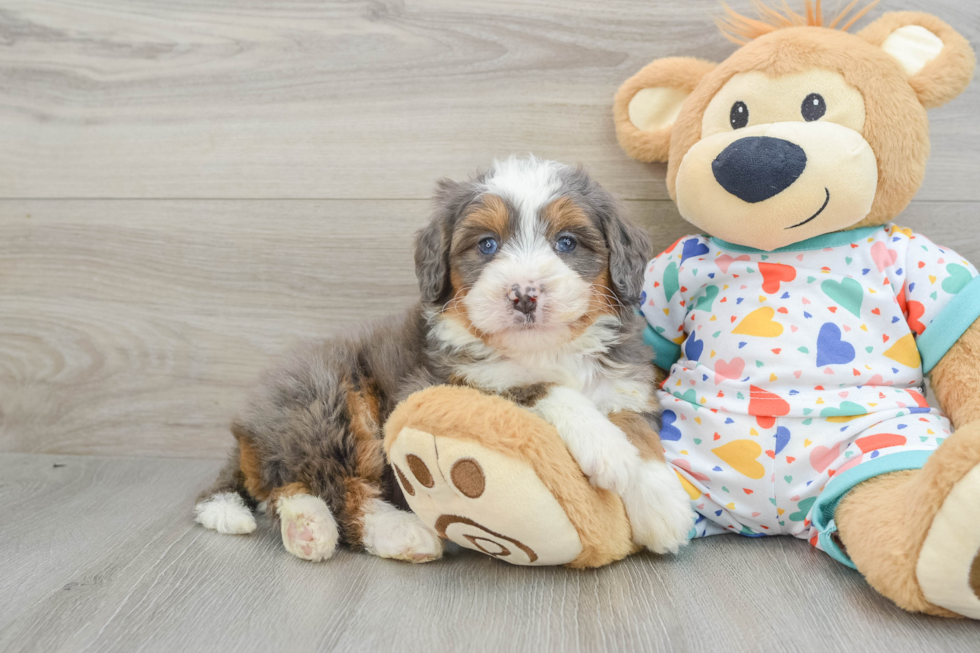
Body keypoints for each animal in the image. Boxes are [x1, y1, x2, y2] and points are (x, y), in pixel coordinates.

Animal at [195, 157, 692, 560]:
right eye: (487, 245)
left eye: (567, 243)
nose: (524, 295)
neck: (544, 348)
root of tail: (253, 422)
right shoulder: (441, 380)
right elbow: (535, 386)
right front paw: (605, 446)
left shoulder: (625, 381)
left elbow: (638, 430)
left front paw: (661, 505)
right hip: (333, 400)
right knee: (338, 487)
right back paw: (393, 532)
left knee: (284, 486)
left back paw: (306, 526)